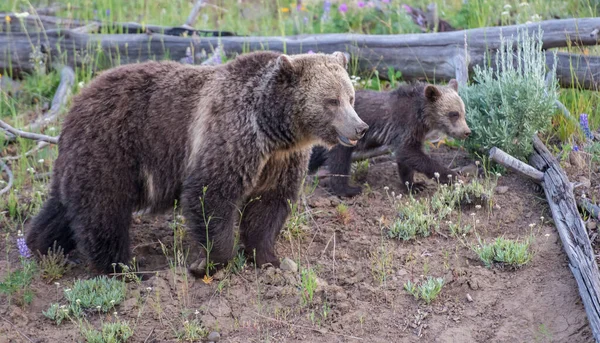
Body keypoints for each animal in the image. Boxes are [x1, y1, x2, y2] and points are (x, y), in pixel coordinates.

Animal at [25, 50, 368, 276]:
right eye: (331, 100)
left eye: (350, 97)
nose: (359, 127)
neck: (273, 129)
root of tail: (77, 99)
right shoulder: (230, 136)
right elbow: (211, 195)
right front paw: (209, 262)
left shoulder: (279, 160)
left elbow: (268, 203)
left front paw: (268, 257)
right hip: (113, 147)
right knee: (103, 208)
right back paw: (123, 266)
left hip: (85, 156)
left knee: (65, 205)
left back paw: (44, 246)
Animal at [310, 78, 474, 196]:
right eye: (453, 114)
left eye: (463, 112)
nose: (467, 132)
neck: (420, 115)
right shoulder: (405, 125)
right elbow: (409, 153)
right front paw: (451, 175)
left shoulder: (413, 133)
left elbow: (406, 159)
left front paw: (414, 185)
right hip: (344, 134)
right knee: (339, 159)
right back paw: (348, 189)